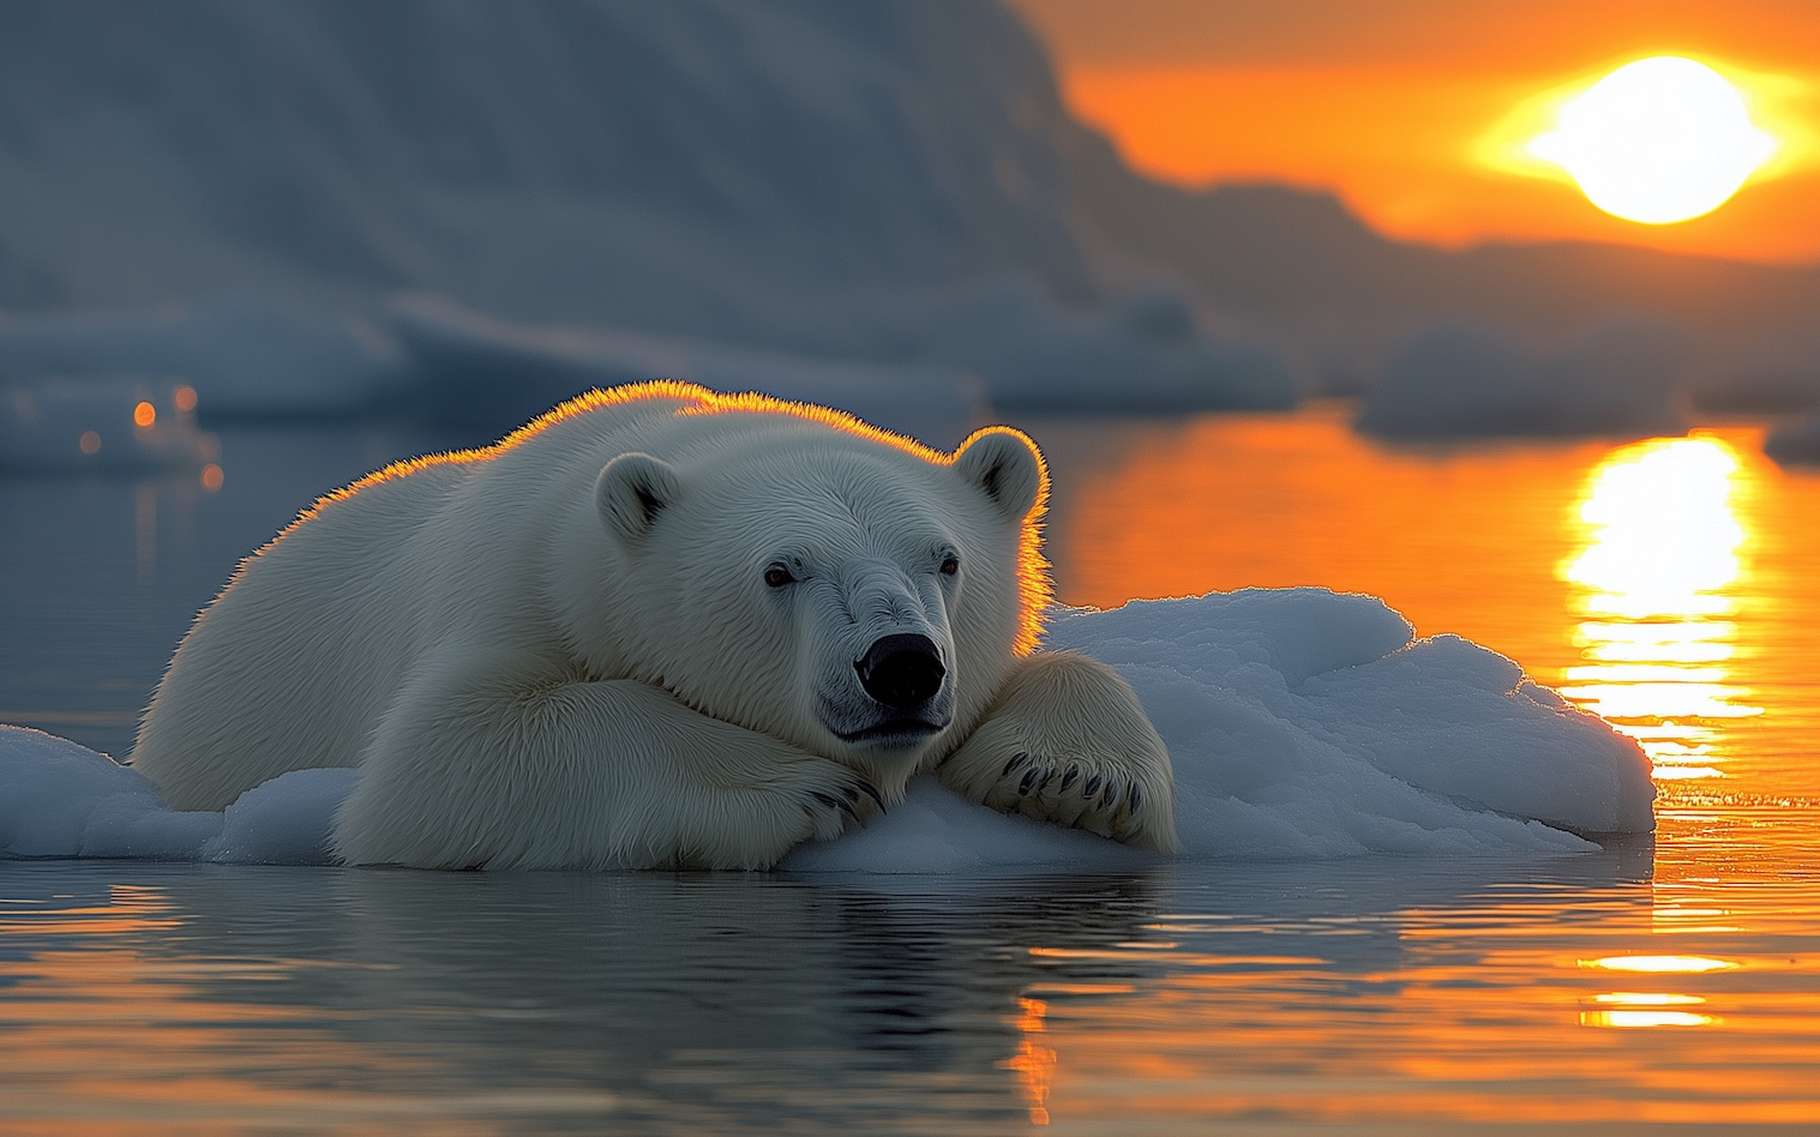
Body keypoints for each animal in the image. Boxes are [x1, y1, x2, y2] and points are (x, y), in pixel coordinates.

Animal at [131, 383, 1179, 869]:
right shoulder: (515, 591)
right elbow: (441, 760)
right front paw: (805, 788)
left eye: (947, 560)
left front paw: (1075, 775)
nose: (901, 665)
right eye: (781, 570)